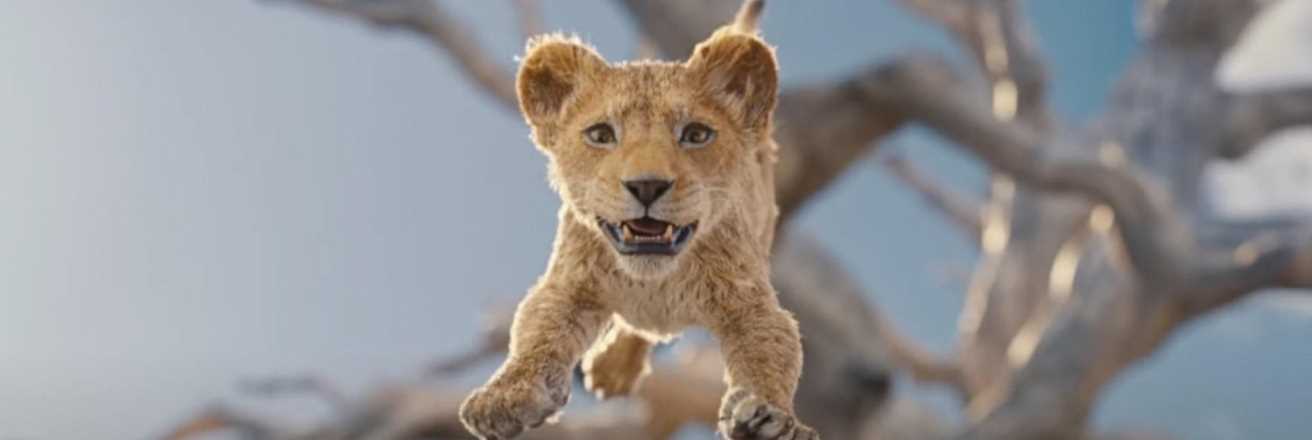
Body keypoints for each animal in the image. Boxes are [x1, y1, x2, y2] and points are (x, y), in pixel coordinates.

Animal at [458, 6, 816, 440]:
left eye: (696, 134)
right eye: (600, 134)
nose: (647, 185)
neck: (655, 282)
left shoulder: (750, 303)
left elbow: (771, 354)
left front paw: (768, 416)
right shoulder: (568, 285)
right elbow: (536, 333)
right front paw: (505, 396)